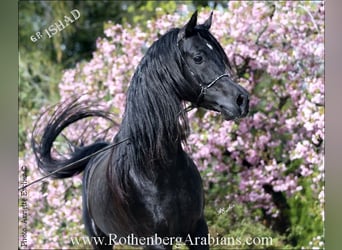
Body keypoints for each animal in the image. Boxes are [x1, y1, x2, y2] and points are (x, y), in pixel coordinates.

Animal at [32, 10, 248, 249]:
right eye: (198, 57)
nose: (241, 100)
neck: (157, 169)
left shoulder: (198, 230)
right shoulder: (155, 241)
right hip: (100, 240)